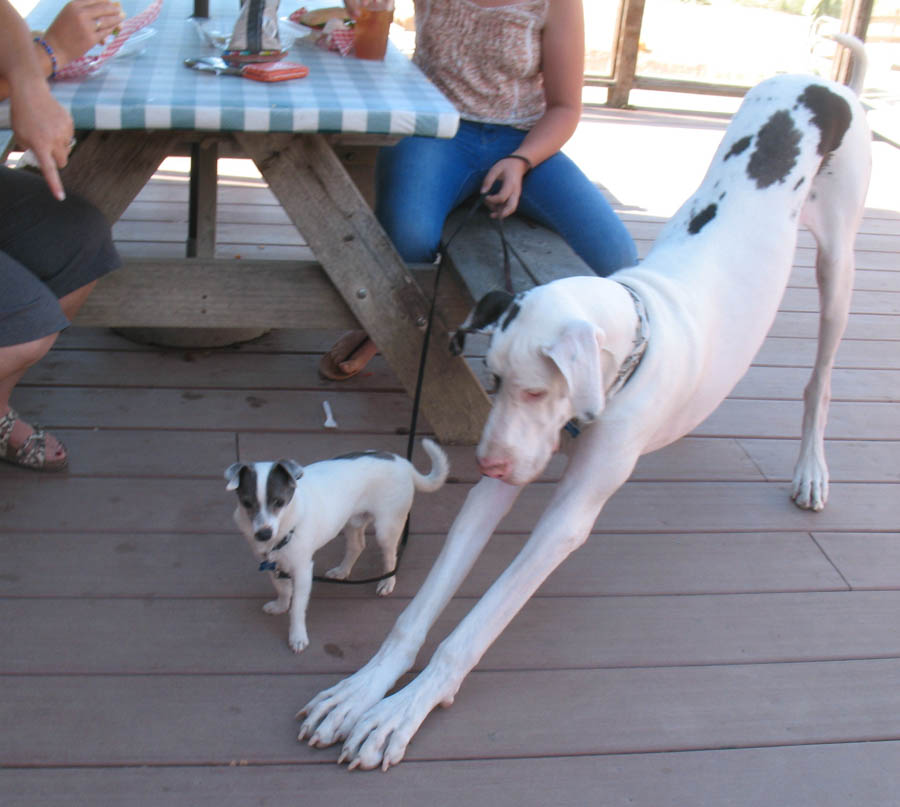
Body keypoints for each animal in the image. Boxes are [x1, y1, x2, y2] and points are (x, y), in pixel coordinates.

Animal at [225, 438, 450, 652]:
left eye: (279, 502)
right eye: (246, 503)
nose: (263, 534)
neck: (284, 530)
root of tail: (403, 463)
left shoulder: (303, 570)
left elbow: (297, 607)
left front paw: (297, 636)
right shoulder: (273, 565)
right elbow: (282, 589)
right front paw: (281, 606)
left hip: (386, 528)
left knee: (390, 556)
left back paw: (387, 581)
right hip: (353, 521)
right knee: (357, 546)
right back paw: (342, 571)